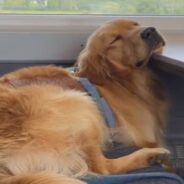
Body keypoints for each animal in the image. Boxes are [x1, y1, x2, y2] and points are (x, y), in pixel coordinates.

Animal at [0, 19, 170, 183]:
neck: (117, 79)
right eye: (115, 39)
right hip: (81, 104)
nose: (149, 31)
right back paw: (151, 156)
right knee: (103, 167)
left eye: (135, 24)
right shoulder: (145, 136)